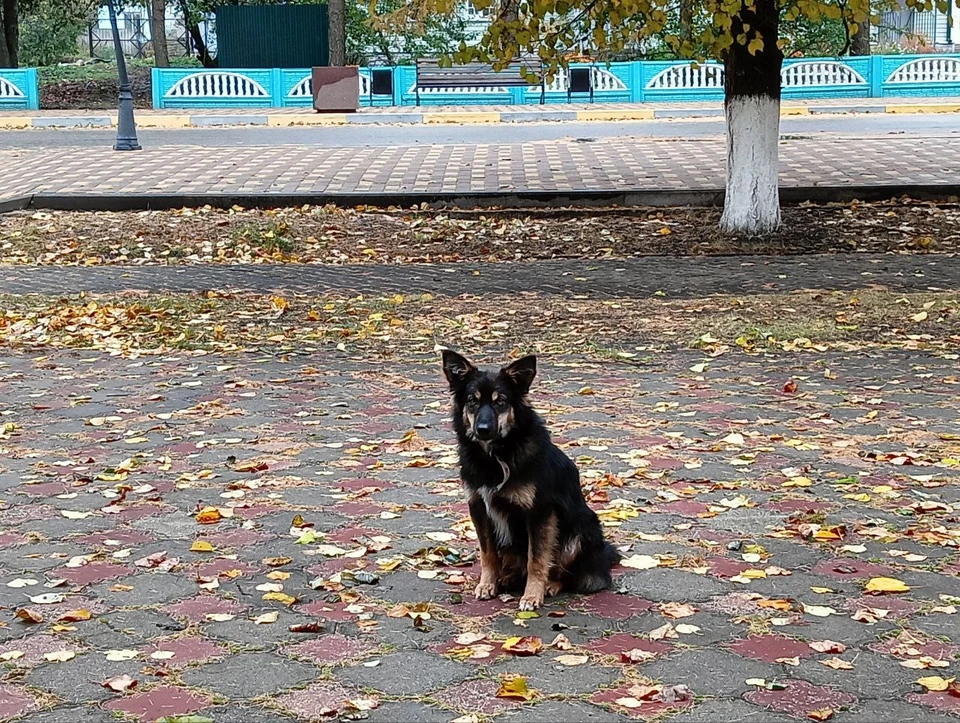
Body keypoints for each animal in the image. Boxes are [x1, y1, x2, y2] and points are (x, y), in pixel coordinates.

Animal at [440, 350, 620, 612]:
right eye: (472, 401)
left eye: (501, 402)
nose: (483, 429)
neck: (497, 455)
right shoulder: (479, 508)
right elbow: (487, 554)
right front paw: (487, 584)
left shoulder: (540, 513)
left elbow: (537, 559)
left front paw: (532, 595)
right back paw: (506, 579)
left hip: (580, 532)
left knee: (566, 573)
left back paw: (550, 585)